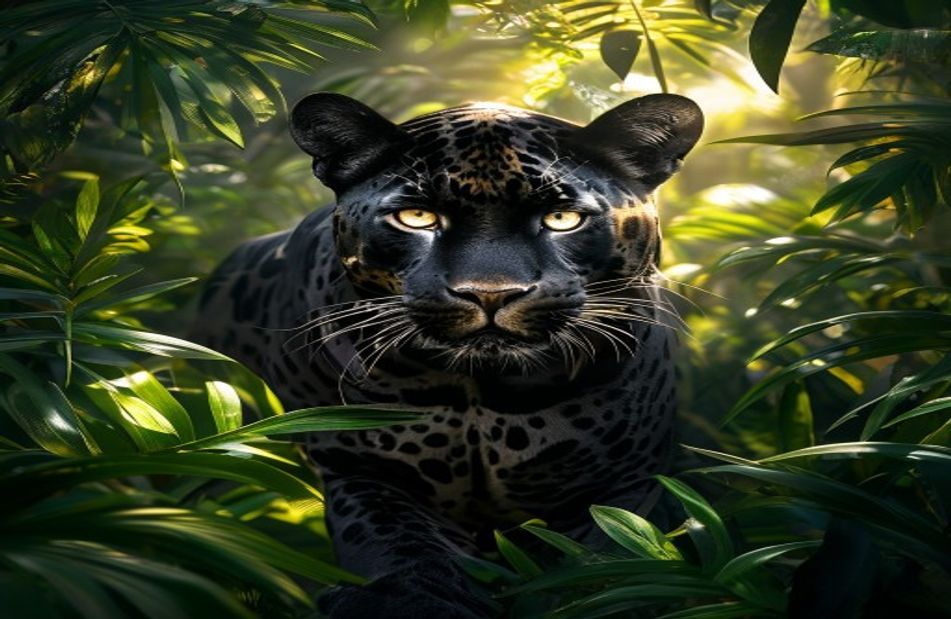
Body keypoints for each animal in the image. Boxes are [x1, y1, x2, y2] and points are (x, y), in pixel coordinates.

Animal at [194, 91, 703, 618]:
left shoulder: (623, 483)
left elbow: (606, 571)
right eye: (417, 218)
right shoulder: (368, 475)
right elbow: (402, 551)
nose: (490, 293)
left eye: (562, 218)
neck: (482, 389)